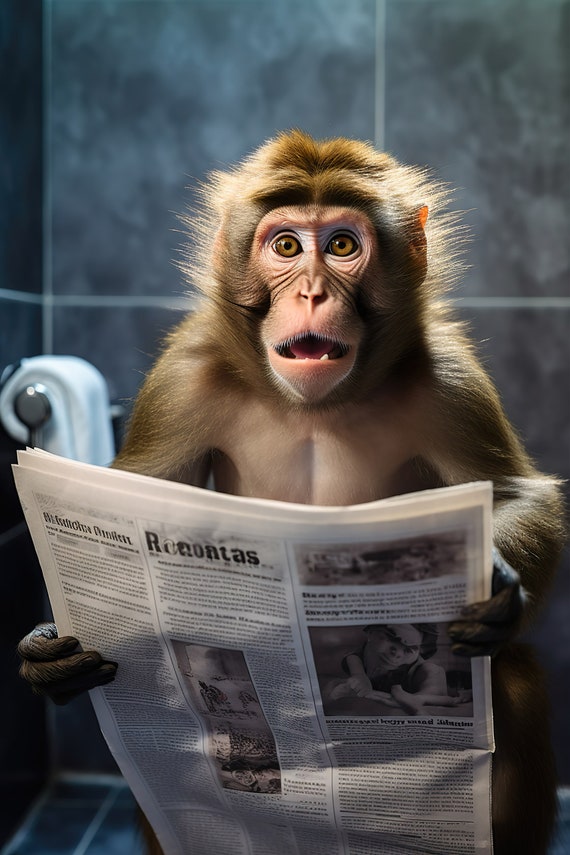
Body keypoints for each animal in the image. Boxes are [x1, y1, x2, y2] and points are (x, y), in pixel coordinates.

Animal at [18, 131, 565, 854]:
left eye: (342, 244)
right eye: (285, 246)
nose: (309, 292)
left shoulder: (451, 378)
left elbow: (516, 494)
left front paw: (495, 587)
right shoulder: (181, 376)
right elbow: (142, 492)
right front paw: (47, 648)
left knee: (516, 674)